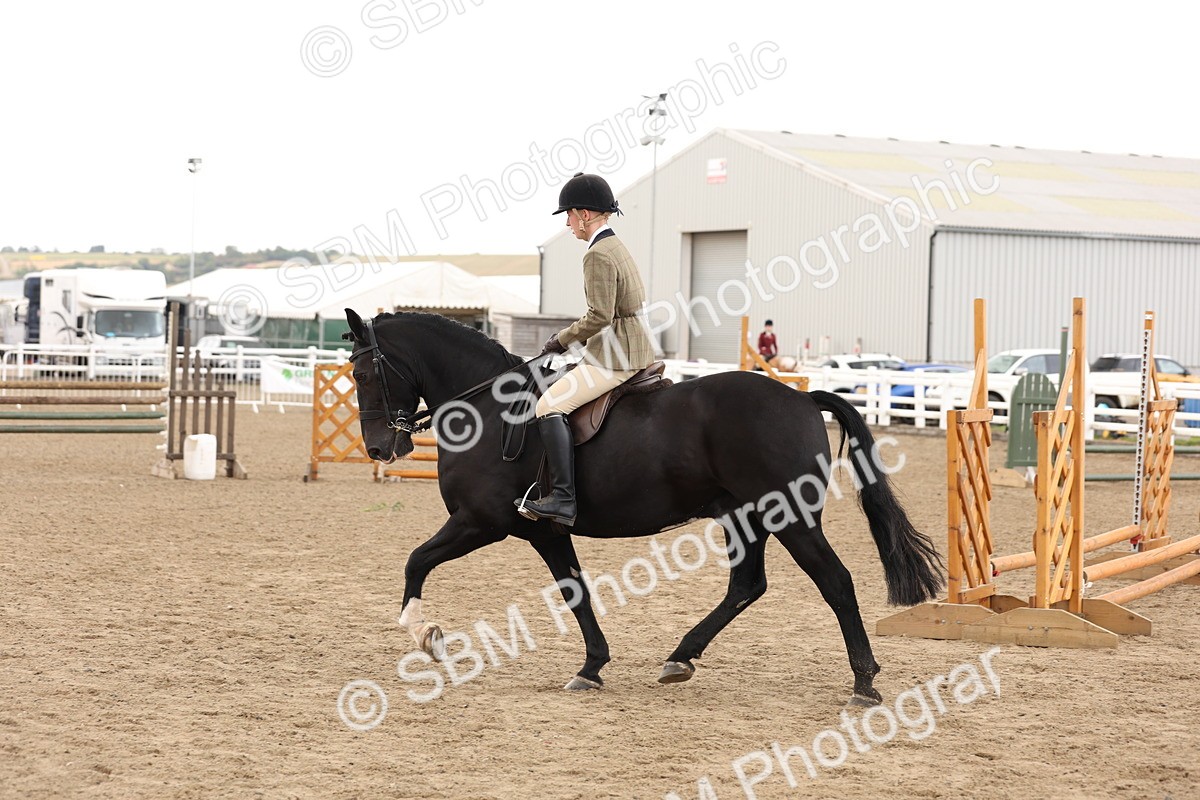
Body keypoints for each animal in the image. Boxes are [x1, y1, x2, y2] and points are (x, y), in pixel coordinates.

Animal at [343, 309, 944, 706]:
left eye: (363, 374)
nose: (379, 449)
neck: (489, 409)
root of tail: (800, 396)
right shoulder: (545, 531)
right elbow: (577, 592)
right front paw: (592, 667)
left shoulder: (481, 522)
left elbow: (416, 561)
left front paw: (426, 635)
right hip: (743, 516)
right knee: (747, 584)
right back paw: (681, 656)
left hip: (789, 517)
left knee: (835, 581)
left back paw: (864, 681)